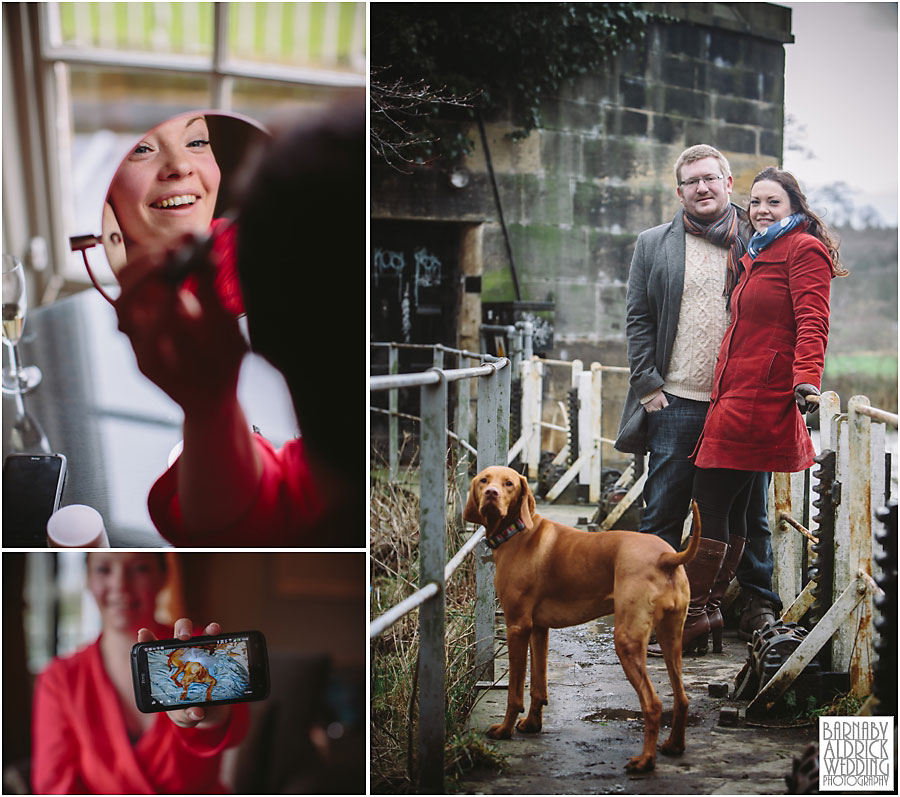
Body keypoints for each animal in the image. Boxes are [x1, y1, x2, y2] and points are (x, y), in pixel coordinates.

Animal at [468, 466, 700, 772]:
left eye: (508, 484)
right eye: (484, 480)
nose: (491, 494)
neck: (516, 532)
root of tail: (666, 556)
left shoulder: (517, 626)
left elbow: (515, 693)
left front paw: (505, 730)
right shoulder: (538, 628)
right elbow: (538, 686)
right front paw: (532, 724)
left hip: (626, 641)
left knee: (653, 704)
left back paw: (644, 761)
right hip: (671, 638)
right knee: (682, 698)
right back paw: (674, 746)